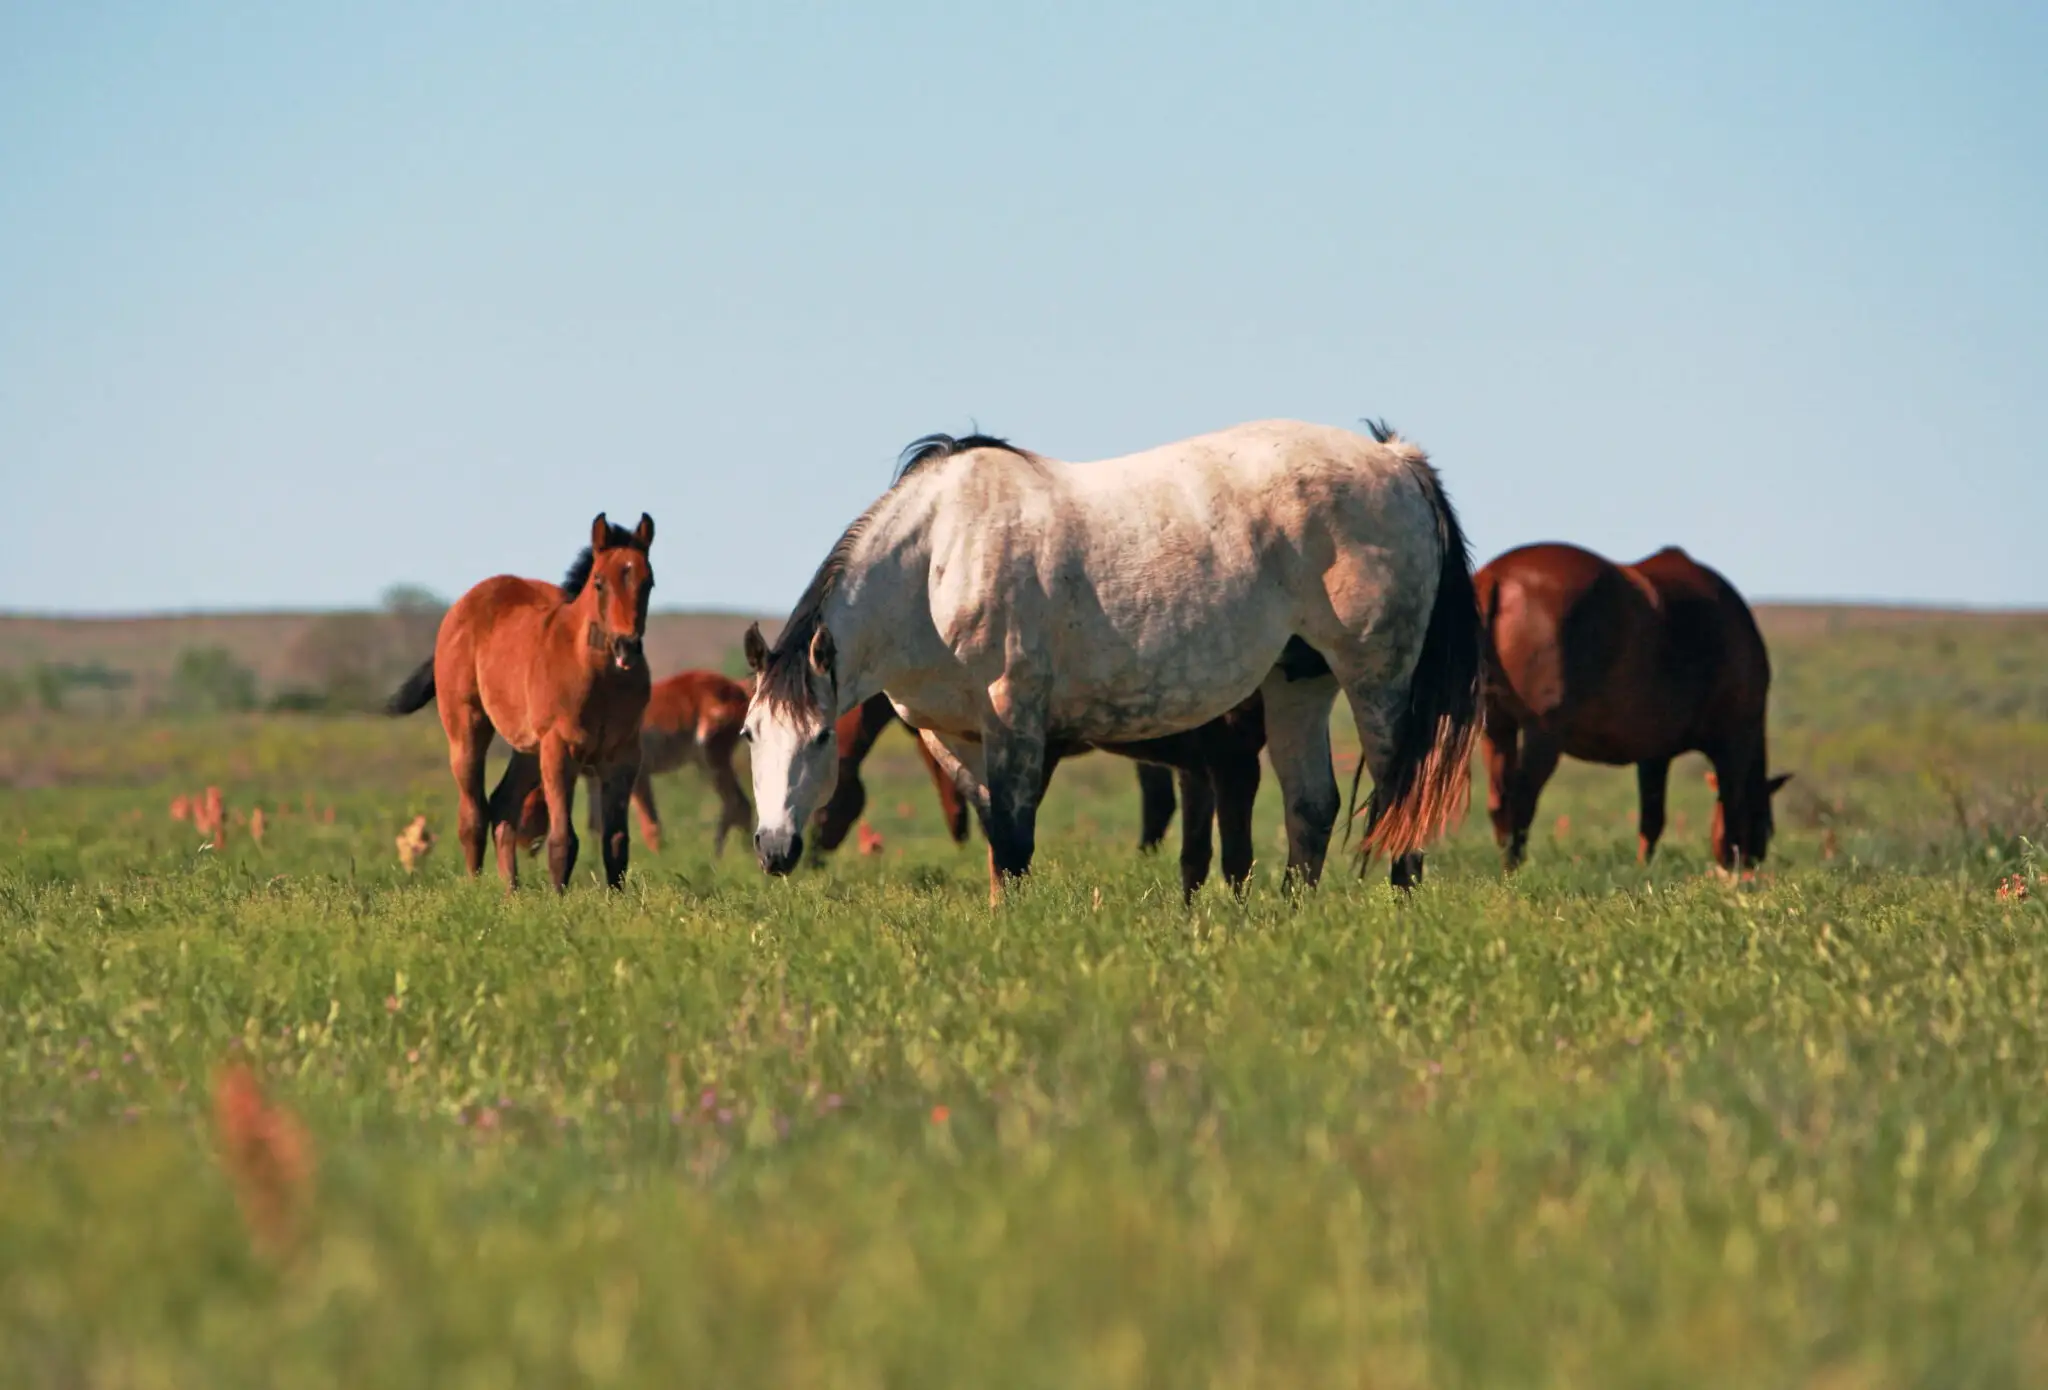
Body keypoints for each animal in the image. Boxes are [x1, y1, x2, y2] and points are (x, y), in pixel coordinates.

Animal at [386, 513, 655, 891]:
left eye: (648, 583)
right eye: (599, 582)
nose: (626, 646)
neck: (598, 678)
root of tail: (463, 605)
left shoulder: (624, 756)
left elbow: (616, 843)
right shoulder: (560, 749)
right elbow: (562, 840)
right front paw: (559, 901)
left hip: (528, 749)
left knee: (502, 805)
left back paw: (510, 894)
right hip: (468, 731)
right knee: (473, 816)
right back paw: (476, 890)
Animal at [740, 418, 1480, 895]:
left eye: (820, 737)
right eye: (750, 734)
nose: (775, 849)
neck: (937, 556)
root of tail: (1396, 460)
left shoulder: (1015, 717)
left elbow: (1015, 842)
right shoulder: (953, 736)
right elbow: (994, 842)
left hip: (1377, 677)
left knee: (1400, 797)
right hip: (1298, 682)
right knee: (1312, 809)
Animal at [1475, 542, 1790, 871]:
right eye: (1767, 826)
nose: (1753, 863)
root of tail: (1495, 575)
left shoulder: (1654, 754)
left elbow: (1651, 819)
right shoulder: (1734, 742)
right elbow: (1727, 809)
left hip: (1496, 729)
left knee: (1500, 801)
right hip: (1542, 735)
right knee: (1521, 800)